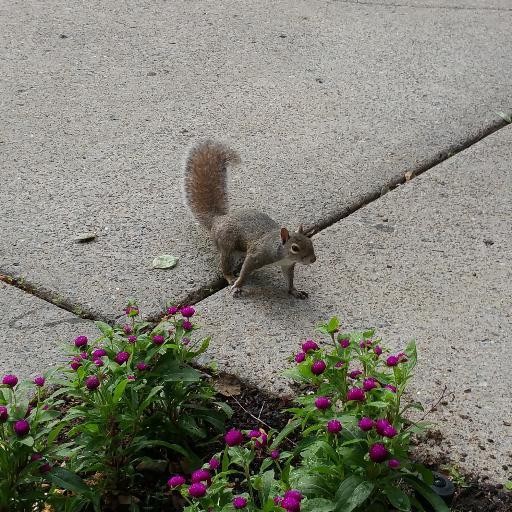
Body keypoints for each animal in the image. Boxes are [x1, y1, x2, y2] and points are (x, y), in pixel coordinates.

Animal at [184, 141, 316, 300]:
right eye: (295, 248)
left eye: (310, 242)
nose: (313, 259)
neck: (281, 252)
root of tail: (218, 220)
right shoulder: (256, 256)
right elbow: (245, 271)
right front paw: (238, 285)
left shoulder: (287, 265)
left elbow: (289, 279)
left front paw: (294, 291)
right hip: (227, 246)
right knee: (225, 265)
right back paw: (230, 277)